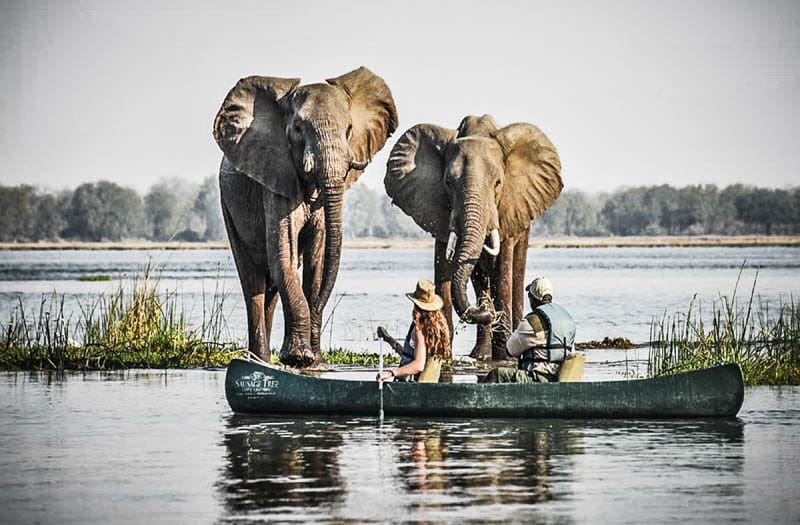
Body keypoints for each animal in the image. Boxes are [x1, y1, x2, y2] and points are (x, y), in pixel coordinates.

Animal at [214, 67, 398, 366]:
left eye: (349, 129)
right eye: (298, 129)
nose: (381, 331)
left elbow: (316, 263)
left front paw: (315, 362)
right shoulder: (275, 178)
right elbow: (284, 258)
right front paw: (298, 358)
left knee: (270, 287)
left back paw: (265, 361)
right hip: (228, 207)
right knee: (253, 280)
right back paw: (259, 360)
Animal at [382, 114, 560, 360]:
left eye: (498, 183)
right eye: (448, 183)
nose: (485, 310)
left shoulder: (508, 210)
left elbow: (502, 272)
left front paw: (504, 356)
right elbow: (445, 270)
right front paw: (443, 354)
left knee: (515, 271)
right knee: (479, 278)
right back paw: (480, 355)